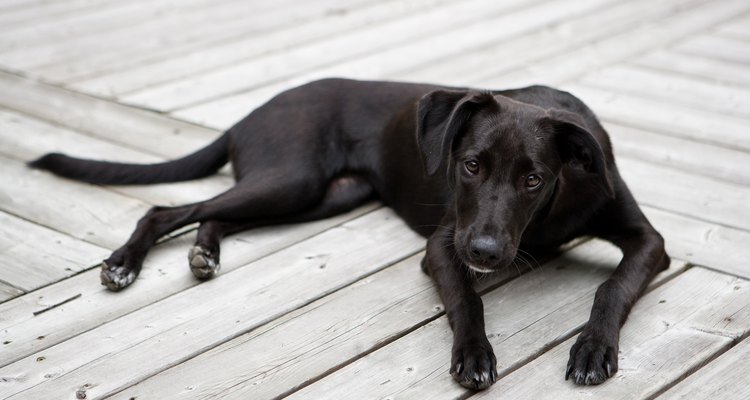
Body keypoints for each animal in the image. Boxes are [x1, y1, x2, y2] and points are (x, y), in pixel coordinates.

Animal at [33, 79, 668, 390]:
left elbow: (612, 286)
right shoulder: (443, 245)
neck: (551, 211)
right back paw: (124, 263)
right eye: (469, 166)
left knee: (214, 214)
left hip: (320, 195)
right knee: (168, 208)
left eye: (534, 179)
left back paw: (204, 253)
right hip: (292, 179)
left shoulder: (649, 243)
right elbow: (467, 300)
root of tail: (248, 115)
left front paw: (592, 347)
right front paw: (474, 356)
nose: (486, 253)